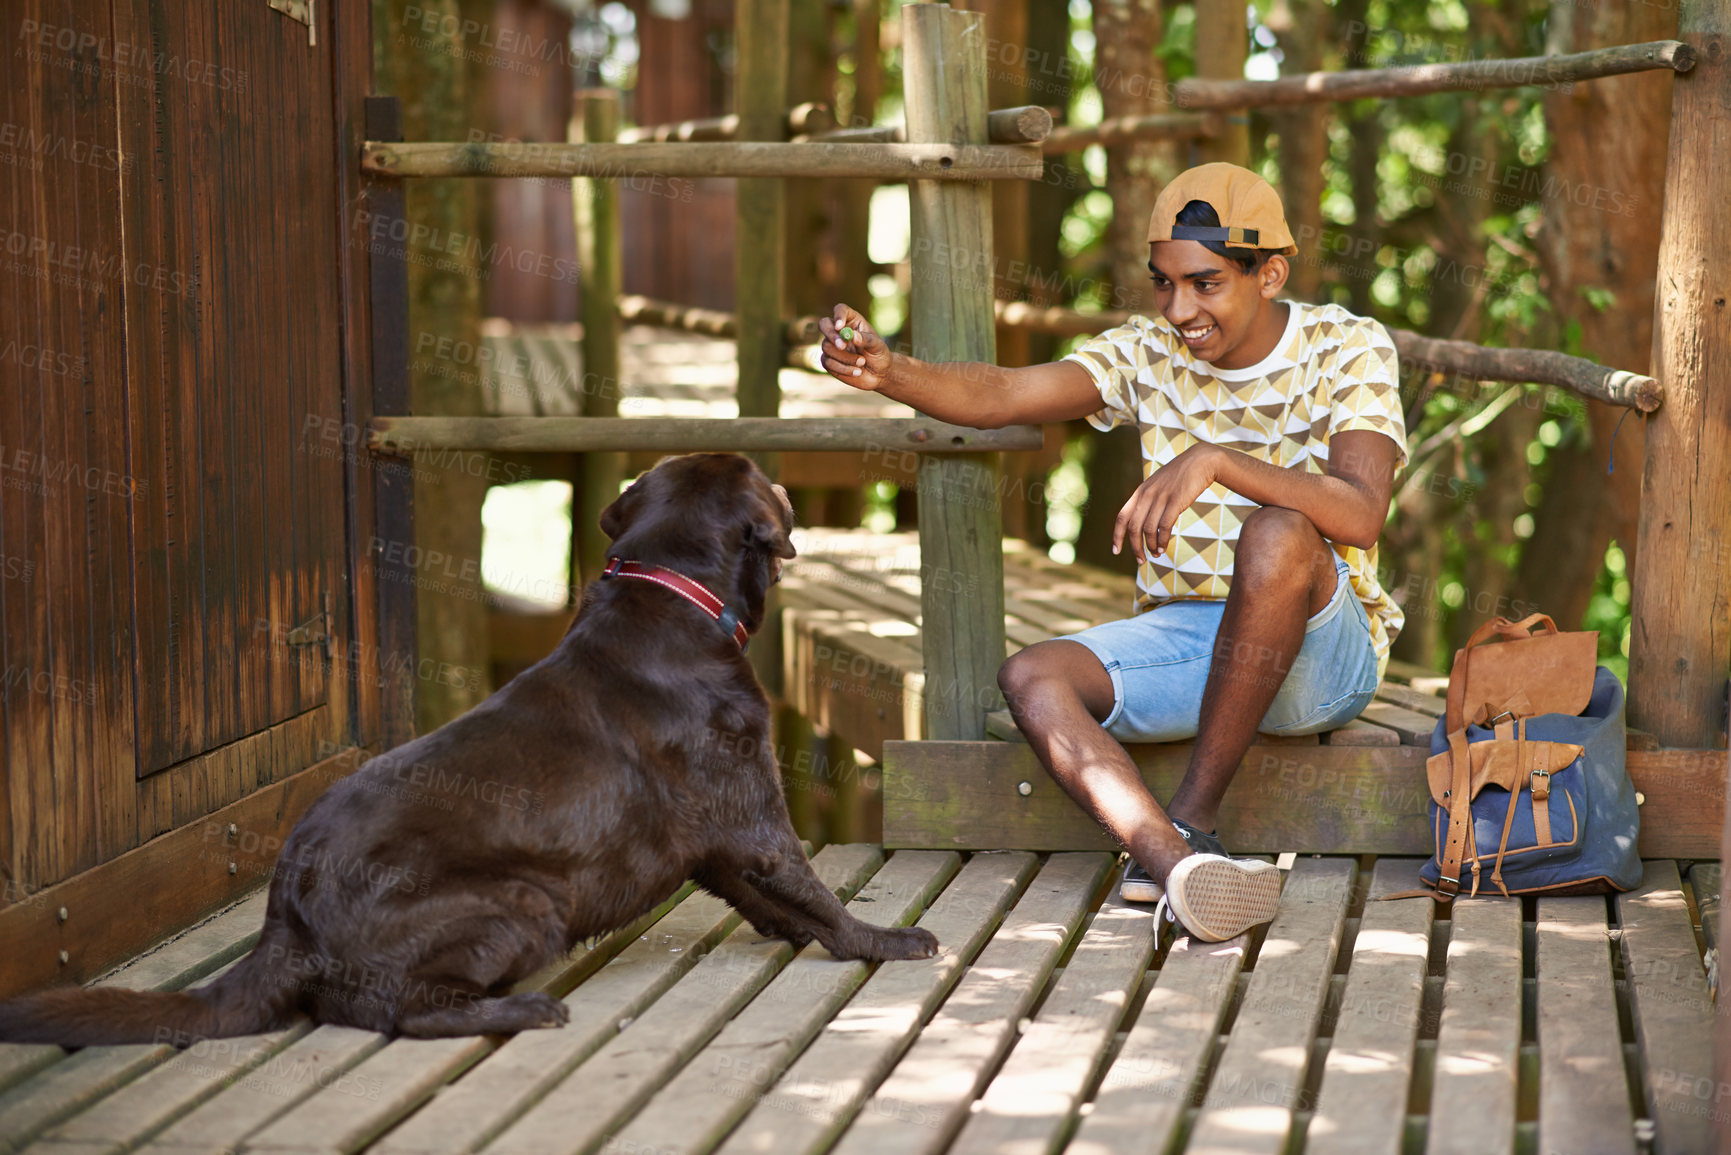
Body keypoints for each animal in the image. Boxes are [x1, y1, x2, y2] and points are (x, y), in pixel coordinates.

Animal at [0, 453, 941, 1045]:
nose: (784, 484)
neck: (672, 601)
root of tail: (283, 917)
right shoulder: (752, 816)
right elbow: (813, 891)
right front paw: (887, 939)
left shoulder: (714, 843)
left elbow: (774, 904)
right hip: (525, 901)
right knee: (393, 1011)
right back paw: (524, 1011)